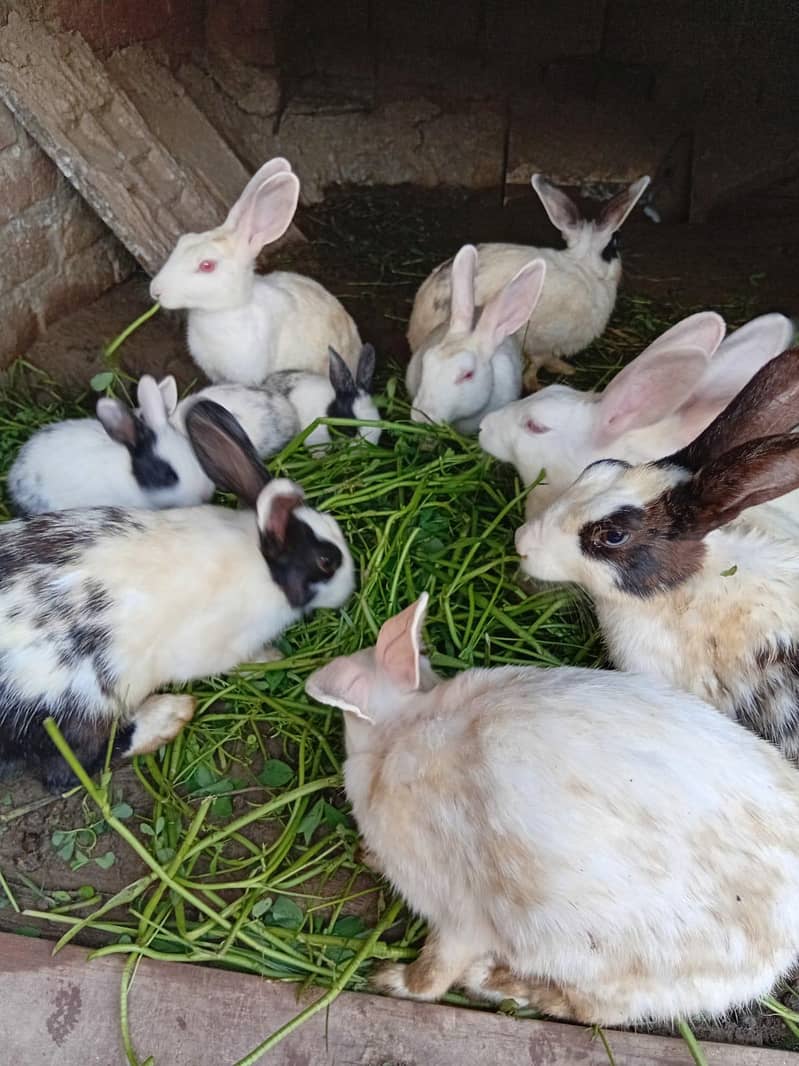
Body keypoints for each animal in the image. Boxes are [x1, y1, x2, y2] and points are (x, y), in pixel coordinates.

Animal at [0, 399, 355, 792]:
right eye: (326, 561)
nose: (353, 584)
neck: (264, 566)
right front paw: (270, 657)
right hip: (76, 708)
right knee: (76, 766)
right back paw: (170, 714)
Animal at [306, 592, 799, 1025]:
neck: (401, 729)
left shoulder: (455, 912)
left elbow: (434, 973)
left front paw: (392, 981)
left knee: (593, 1011)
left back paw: (492, 982)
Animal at [408, 174, 650, 391]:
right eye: (614, 247)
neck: (583, 267)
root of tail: (415, 329)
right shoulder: (542, 343)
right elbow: (538, 364)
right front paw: (557, 373)